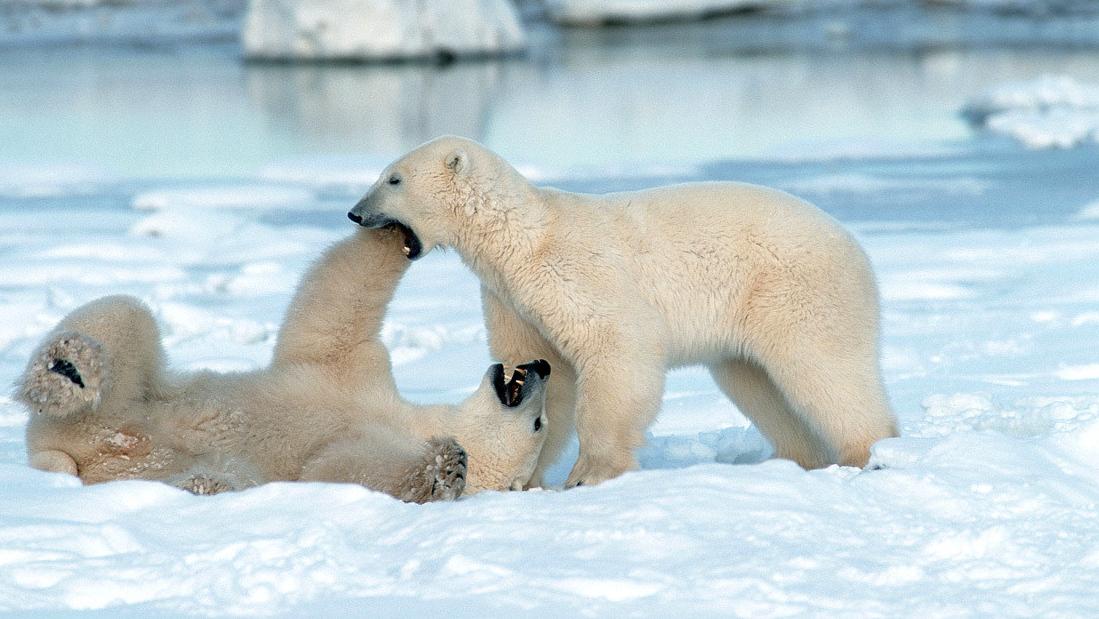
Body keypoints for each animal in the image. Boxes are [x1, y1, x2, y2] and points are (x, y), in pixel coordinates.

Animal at [17, 227, 549, 503]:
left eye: (539, 424)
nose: (543, 365)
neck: (410, 419)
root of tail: (68, 455)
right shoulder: (356, 375)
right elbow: (334, 316)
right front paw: (399, 231)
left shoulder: (368, 438)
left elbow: (337, 468)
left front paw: (446, 467)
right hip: (129, 394)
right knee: (126, 316)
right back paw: (65, 371)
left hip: (140, 456)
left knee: (214, 473)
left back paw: (201, 483)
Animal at [347, 135, 896, 490]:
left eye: (393, 178)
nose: (354, 212)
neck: (522, 238)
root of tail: (857, 247)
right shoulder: (511, 297)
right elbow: (545, 371)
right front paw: (529, 473)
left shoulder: (574, 271)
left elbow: (615, 347)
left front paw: (590, 473)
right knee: (757, 384)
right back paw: (798, 458)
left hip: (795, 291)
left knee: (825, 368)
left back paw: (870, 453)